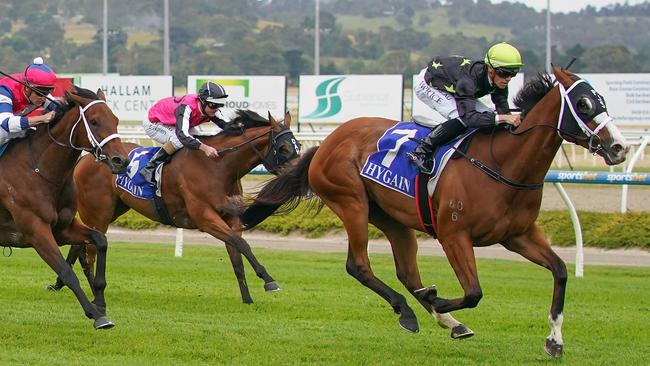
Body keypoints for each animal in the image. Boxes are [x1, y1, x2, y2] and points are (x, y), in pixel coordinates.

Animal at [0, 86, 129, 328]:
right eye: (94, 121)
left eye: (116, 120)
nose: (122, 161)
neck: (39, 169)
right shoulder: (35, 230)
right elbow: (67, 272)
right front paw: (96, 314)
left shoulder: (63, 228)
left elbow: (100, 241)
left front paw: (100, 303)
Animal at [50, 110, 298, 304]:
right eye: (284, 148)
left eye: (298, 146)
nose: (297, 175)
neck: (219, 167)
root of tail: (86, 159)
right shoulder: (206, 219)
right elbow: (242, 244)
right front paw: (269, 281)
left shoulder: (231, 218)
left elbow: (236, 255)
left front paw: (247, 298)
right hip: (98, 213)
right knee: (88, 254)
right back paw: (93, 294)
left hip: (112, 210)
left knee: (80, 246)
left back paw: (60, 284)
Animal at [239, 66, 628, 358]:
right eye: (584, 103)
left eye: (602, 99)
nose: (620, 147)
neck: (502, 162)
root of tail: (327, 143)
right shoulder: (454, 235)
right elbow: (473, 292)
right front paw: (437, 300)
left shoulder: (518, 235)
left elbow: (560, 270)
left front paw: (555, 340)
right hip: (351, 202)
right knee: (358, 265)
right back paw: (412, 312)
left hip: (393, 218)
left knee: (407, 273)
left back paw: (445, 320)